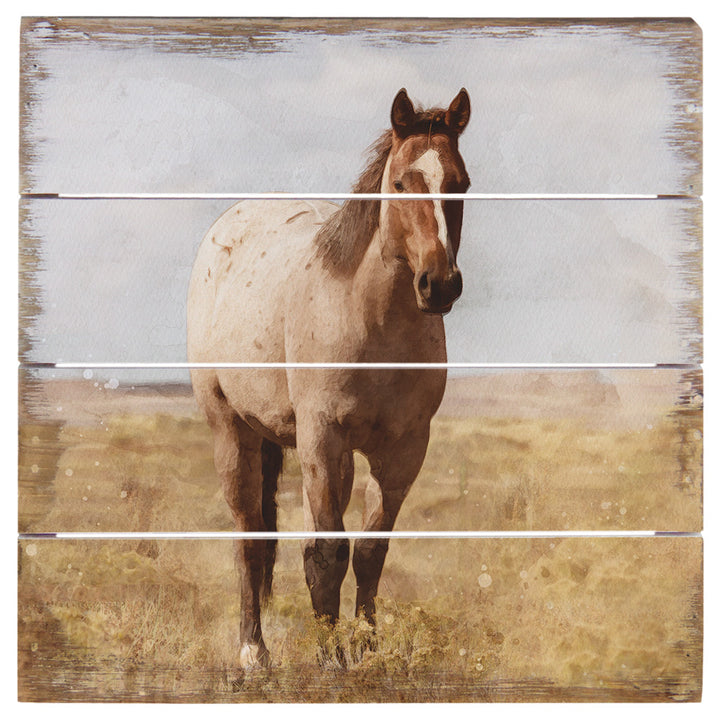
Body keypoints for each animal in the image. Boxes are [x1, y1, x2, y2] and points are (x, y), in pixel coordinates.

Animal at [187, 88, 471, 670]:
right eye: (400, 183)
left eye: (462, 184)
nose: (439, 285)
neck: (371, 319)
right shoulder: (323, 438)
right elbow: (327, 552)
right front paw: (330, 659)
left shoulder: (403, 450)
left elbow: (369, 551)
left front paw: (365, 650)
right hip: (235, 433)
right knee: (249, 537)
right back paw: (253, 652)